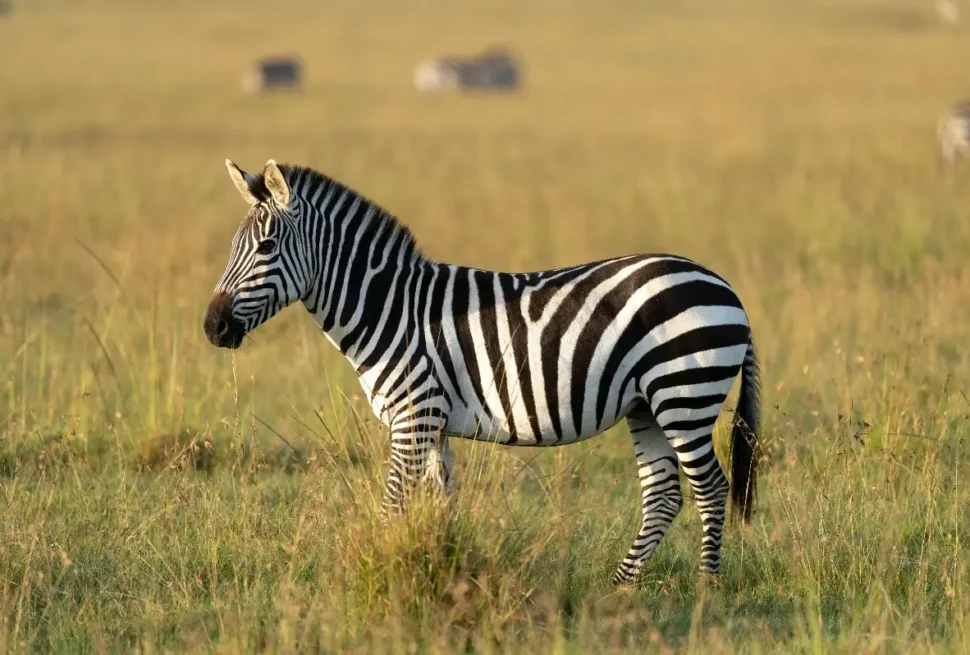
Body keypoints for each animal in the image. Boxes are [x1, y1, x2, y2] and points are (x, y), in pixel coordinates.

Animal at [204, 159, 761, 584]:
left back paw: (706, 587)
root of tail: (724, 285)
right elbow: (439, 505)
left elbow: (392, 506)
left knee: (711, 488)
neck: (390, 309)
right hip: (647, 403)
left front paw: (382, 571)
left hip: (684, 394)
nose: (212, 327)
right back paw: (621, 587)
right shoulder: (432, 423)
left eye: (266, 248)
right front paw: (438, 565)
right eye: (231, 248)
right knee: (663, 493)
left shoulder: (413, 417)